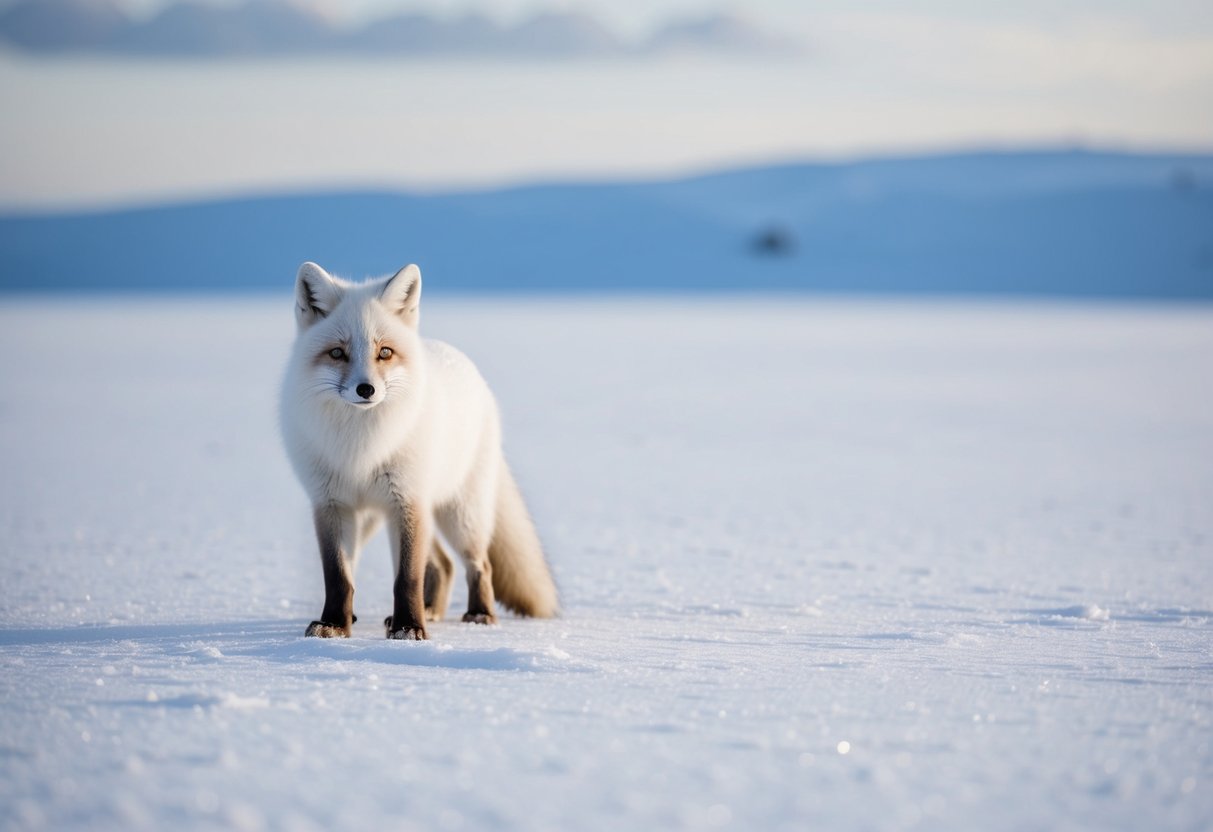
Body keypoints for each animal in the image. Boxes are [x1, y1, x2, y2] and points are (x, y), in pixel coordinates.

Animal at [279, 261, 559, 640]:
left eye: (384, 352)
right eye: (337, 352)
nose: (366, 389)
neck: (362, 446)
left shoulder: (408, 500)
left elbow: (406, 578)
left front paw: (409, 629)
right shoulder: (331, 504)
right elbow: (338, 577)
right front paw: (334, 624)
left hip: (458, 514)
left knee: (478, 564)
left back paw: (478, 614)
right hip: (377, 518)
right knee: (442, 563)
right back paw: (429, 610)